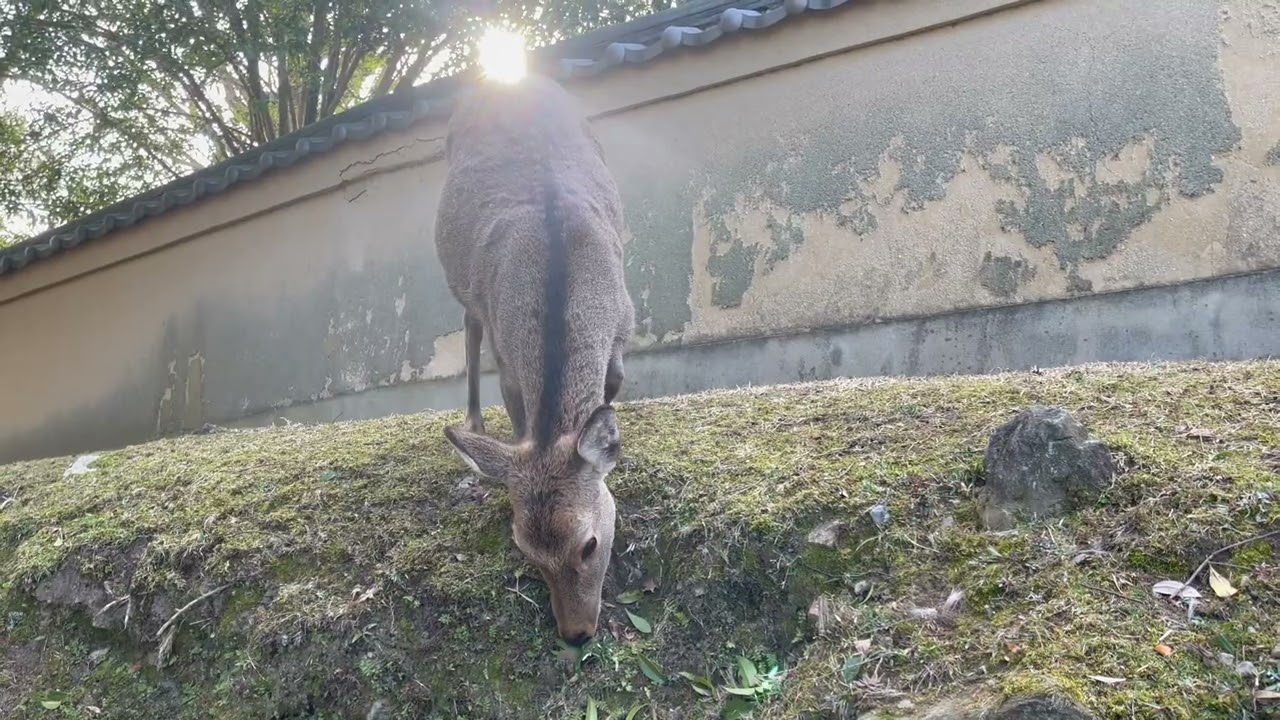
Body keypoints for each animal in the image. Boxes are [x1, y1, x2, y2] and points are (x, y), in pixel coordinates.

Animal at [432, 72, 635, 647]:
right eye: (525, 549)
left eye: (589, 544)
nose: (575, 633)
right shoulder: (507, 355)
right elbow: (517, 414)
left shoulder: (625, 327)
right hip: (465, 286)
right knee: (469, 327)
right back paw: (473, 421)